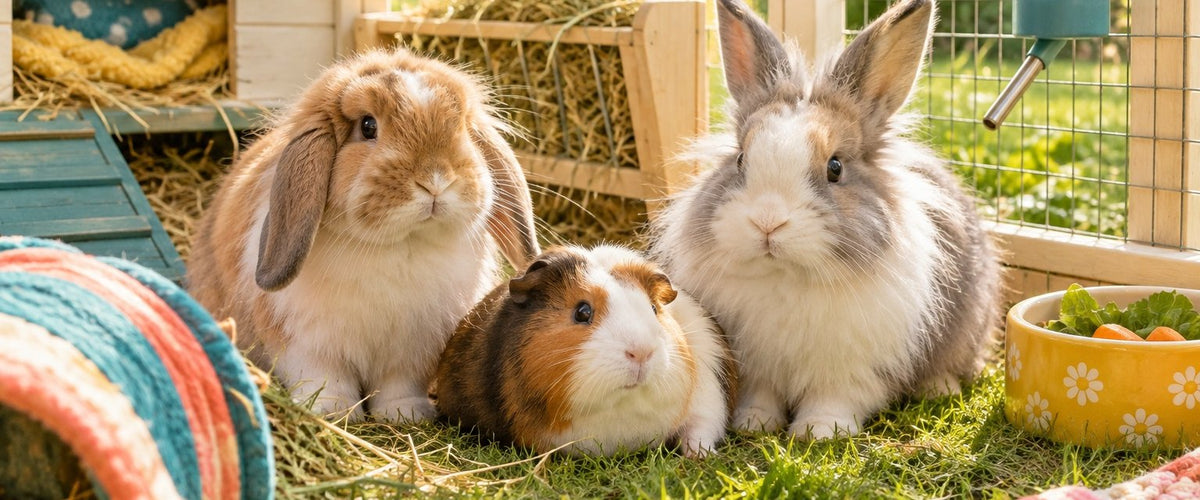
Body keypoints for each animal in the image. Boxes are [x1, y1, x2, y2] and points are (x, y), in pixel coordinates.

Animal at [187, 48, 540, 423]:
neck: (400, 245)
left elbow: (399, 385)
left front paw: (405, 414)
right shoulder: (306, 344)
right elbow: (324, 378)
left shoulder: (410, 354)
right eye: (368, 126)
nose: (436, 179)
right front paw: (333, 411)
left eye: (461, 127)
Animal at [432, 244, 736, 457]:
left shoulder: (708, 400)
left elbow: (700, 429)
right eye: (582, 312)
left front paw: (702, 456)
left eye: (653, 309)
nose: (641, 353)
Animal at [649, 0, 1002, 440]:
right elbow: (762, 395)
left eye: (835, 168)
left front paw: (818, 431)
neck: (786, 277)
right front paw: (754, 423)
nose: (768, 222)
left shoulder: (851, 369)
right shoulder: (757, 367)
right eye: (740, 160)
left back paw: (939, 388)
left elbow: (834, 398)